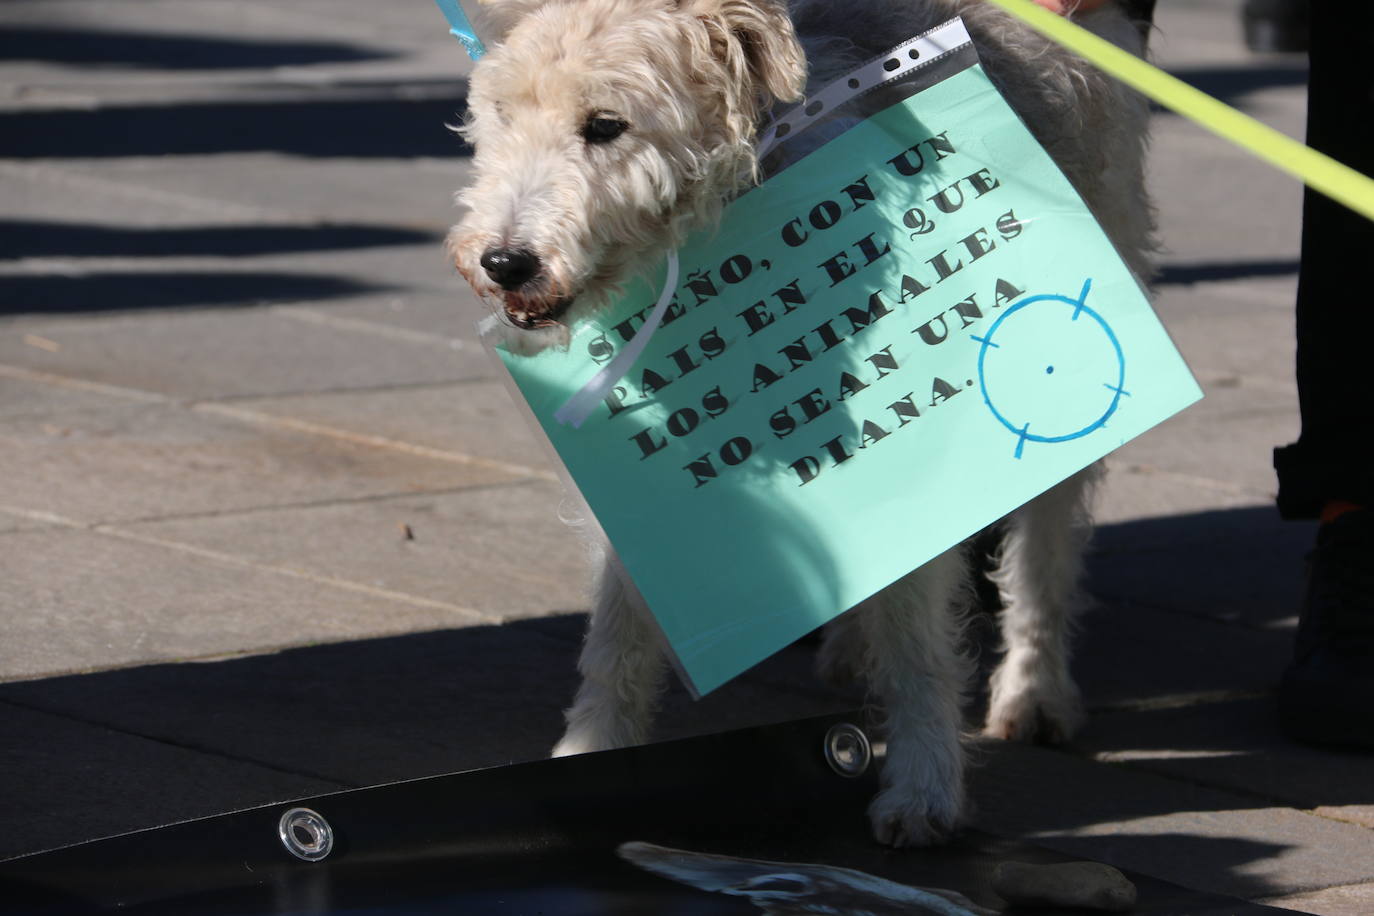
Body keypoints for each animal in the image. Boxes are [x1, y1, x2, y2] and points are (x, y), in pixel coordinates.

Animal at [447, 0, 1148, 851]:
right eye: (502, 113)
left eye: (606, 125)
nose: (503, 263)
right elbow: (616, 632)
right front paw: (589, 753)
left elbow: (920, 643)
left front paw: (924, 787)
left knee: (1045, 544)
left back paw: (1035, 689)